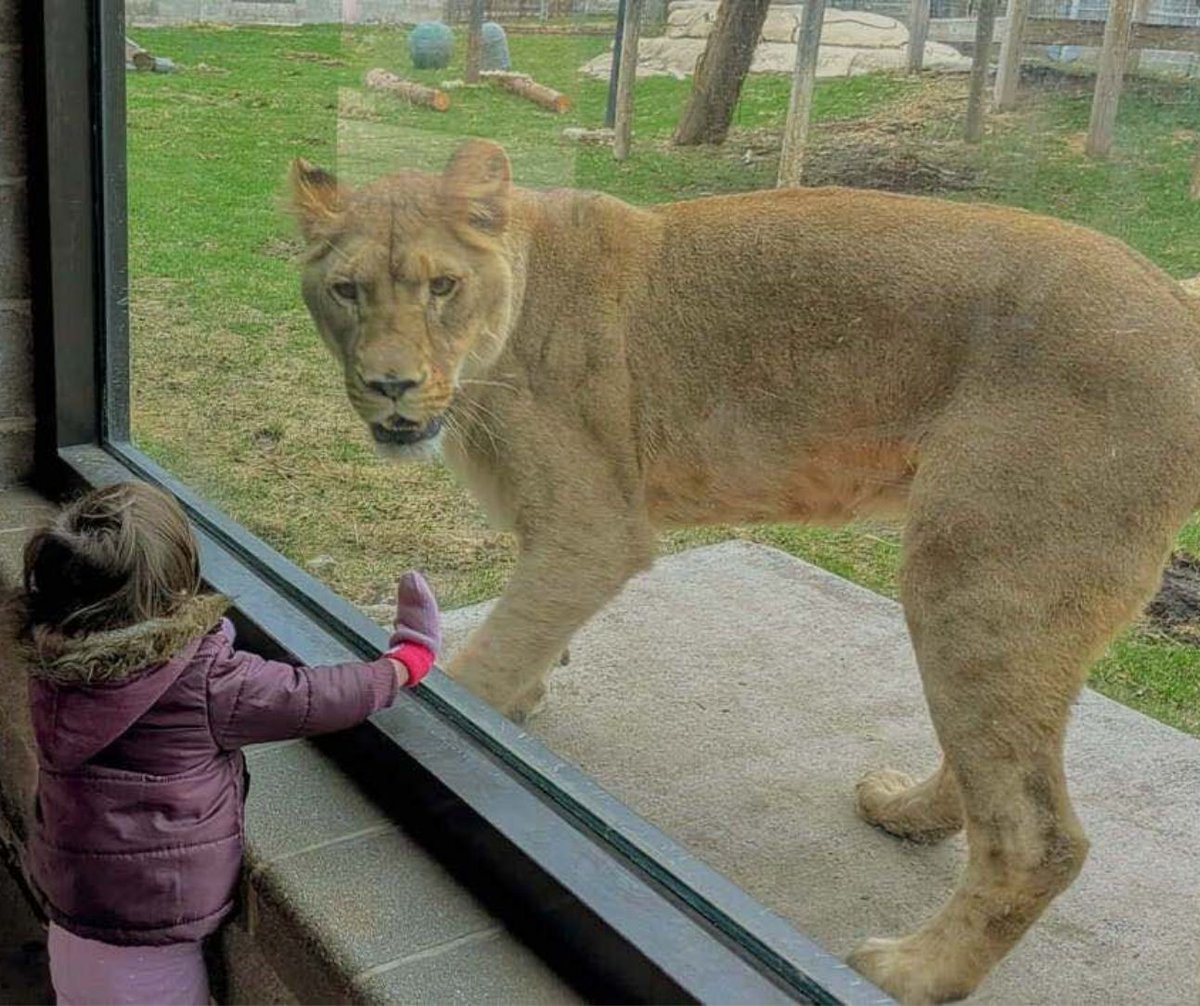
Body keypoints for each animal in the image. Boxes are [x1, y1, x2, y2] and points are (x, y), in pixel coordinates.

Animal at [289, 139, 1200, 1004]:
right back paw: (905, 812)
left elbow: (479, 668)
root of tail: (1177, 301)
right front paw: (523, 701)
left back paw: (911, 972)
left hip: (978, 568)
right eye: (347, 291)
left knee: (1039, 836)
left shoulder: (596, 529)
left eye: (442, 286)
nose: (390, 385)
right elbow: (527, 640)